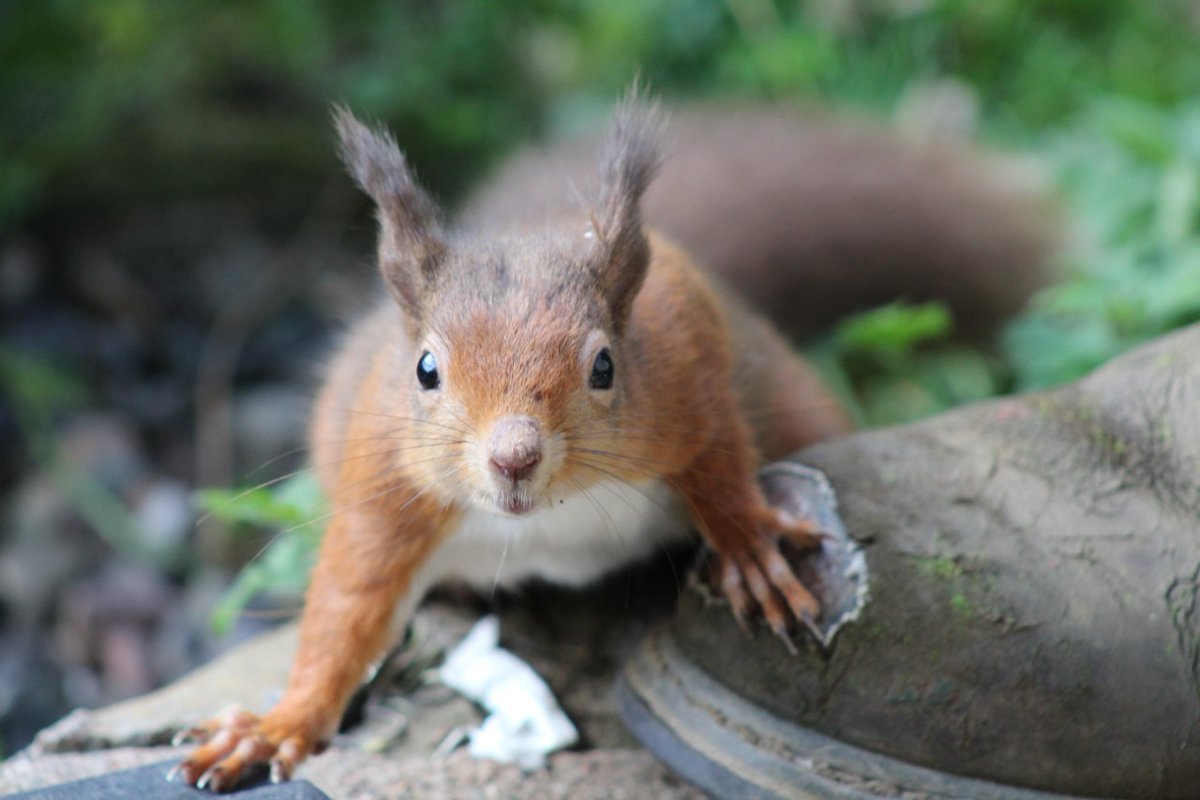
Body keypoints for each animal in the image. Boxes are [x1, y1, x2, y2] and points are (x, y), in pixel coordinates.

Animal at [173, 94, 1056, 790]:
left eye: (603, 365)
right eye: (424, 369)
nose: (513, 457)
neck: (549, 523)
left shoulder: (688, 358)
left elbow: (719, 452)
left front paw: (746, 546)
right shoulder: (384, 489)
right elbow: (344, 614)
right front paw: (276, 726)